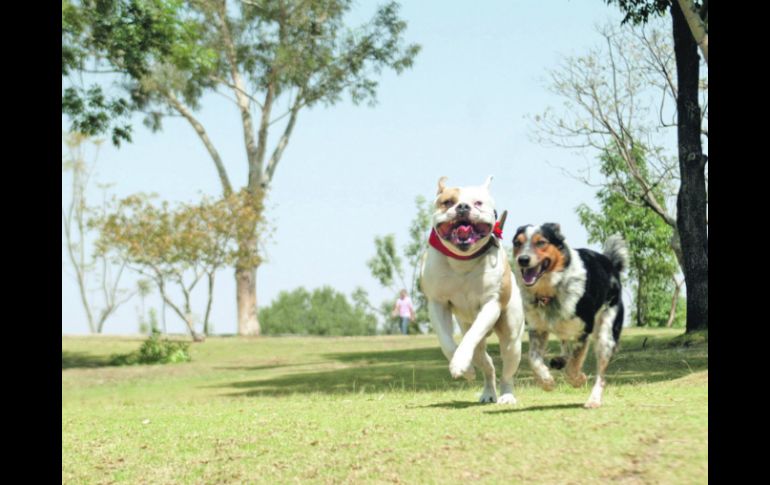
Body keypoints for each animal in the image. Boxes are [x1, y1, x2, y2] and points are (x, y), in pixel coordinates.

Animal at [416, 176, 524, 402]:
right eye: (447, 202)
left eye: (478, 203)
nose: (463, 206)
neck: (462, 259)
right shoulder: (437, 303)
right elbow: (447, 342)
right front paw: (464, 369)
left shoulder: (491, 304)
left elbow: (471, 335)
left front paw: (459, 363)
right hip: (476, 343)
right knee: (488, 365)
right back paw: (488, 393)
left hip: (512, 340)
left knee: (506, 370)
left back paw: (506, 395)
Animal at [510, 224, 624, 408]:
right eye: (517, 243)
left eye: (541, 242)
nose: (523, 259)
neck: (550, 292)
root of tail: (611, 263)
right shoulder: (537, 329)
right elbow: (533, 359)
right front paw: (546, 382)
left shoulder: (583, 331)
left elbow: (573, 366)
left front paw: (578, 379)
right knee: (565, 347)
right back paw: (559, 360)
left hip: (606, 336)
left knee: (601, 376)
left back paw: (594, 400)